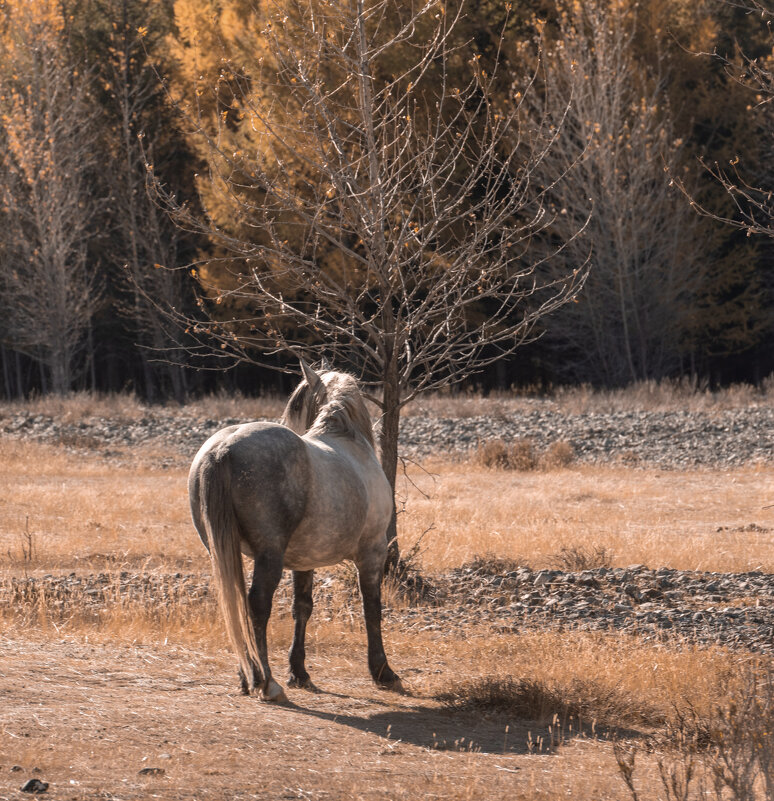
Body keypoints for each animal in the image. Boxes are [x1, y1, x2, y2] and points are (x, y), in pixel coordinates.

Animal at [189, 360, 404, 704]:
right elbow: (372, 608)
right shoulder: (373, 552)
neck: (350, 440)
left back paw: (247, 676)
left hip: (221, 551)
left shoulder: (305, 561)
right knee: (257, 605)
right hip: (270, 555)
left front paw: (299, 672)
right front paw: (383, 672)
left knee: (236, 603)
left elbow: (302, 608)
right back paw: (266, 682)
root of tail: (223, 449)